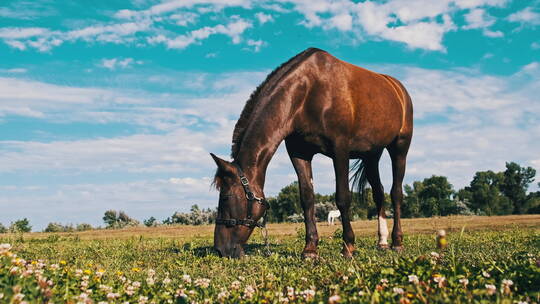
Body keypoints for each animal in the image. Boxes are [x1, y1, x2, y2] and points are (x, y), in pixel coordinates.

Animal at [211, 48, 414, 258]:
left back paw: (397, 242)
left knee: (396, 193)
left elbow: (343, 197)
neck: (308, 93)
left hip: (400, 148)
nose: (219, 249)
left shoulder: (340, 150)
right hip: (372, 155)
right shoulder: (300, 154)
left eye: (225, 197)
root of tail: (398, 89)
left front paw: (348, 246)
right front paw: (310, 249)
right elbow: (307, 198)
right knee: (379, 193)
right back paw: (382, 241)